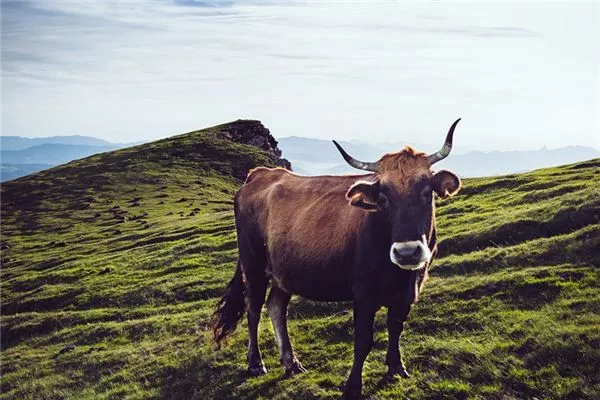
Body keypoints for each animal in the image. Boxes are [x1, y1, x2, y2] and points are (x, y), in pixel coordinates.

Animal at [212, 118, 464, 396]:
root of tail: (260, 174)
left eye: (426, 192)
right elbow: (363, 341)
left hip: (284, 272)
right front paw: (353, 387)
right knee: (253, 308)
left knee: (276, 305)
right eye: (383, 197)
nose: (407, 252)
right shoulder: (363, 293)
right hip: (253, 264)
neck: (397, 275)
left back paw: (292, 363)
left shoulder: (409, 289)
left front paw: (396, 368)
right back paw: (256, 363)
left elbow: (396, 327)